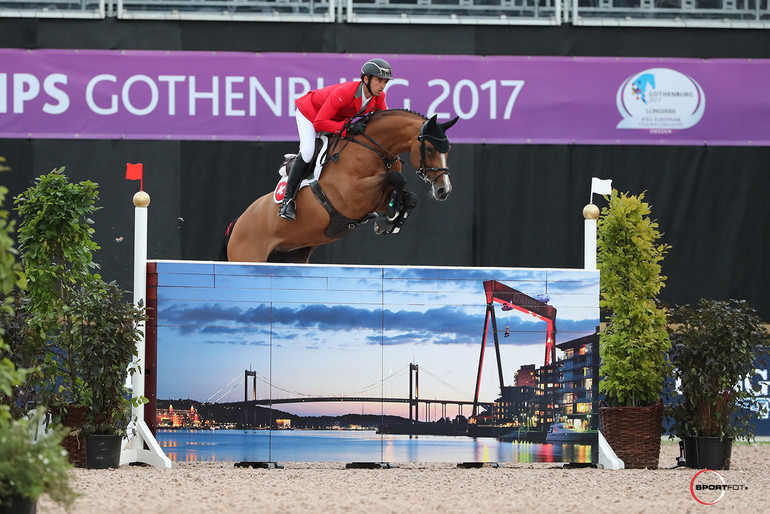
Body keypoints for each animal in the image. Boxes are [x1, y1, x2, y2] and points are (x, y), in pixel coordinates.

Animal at [222, 106, 460, 262]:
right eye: (429, 149)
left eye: (448, 150)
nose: (444, 190)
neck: (374, 150)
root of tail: (237, 223)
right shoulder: (352, 195)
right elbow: (397, 178)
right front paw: (388, 219)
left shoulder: (376, 199)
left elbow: (410, 197)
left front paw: (390, 222)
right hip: (249, 256)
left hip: (291, 256)